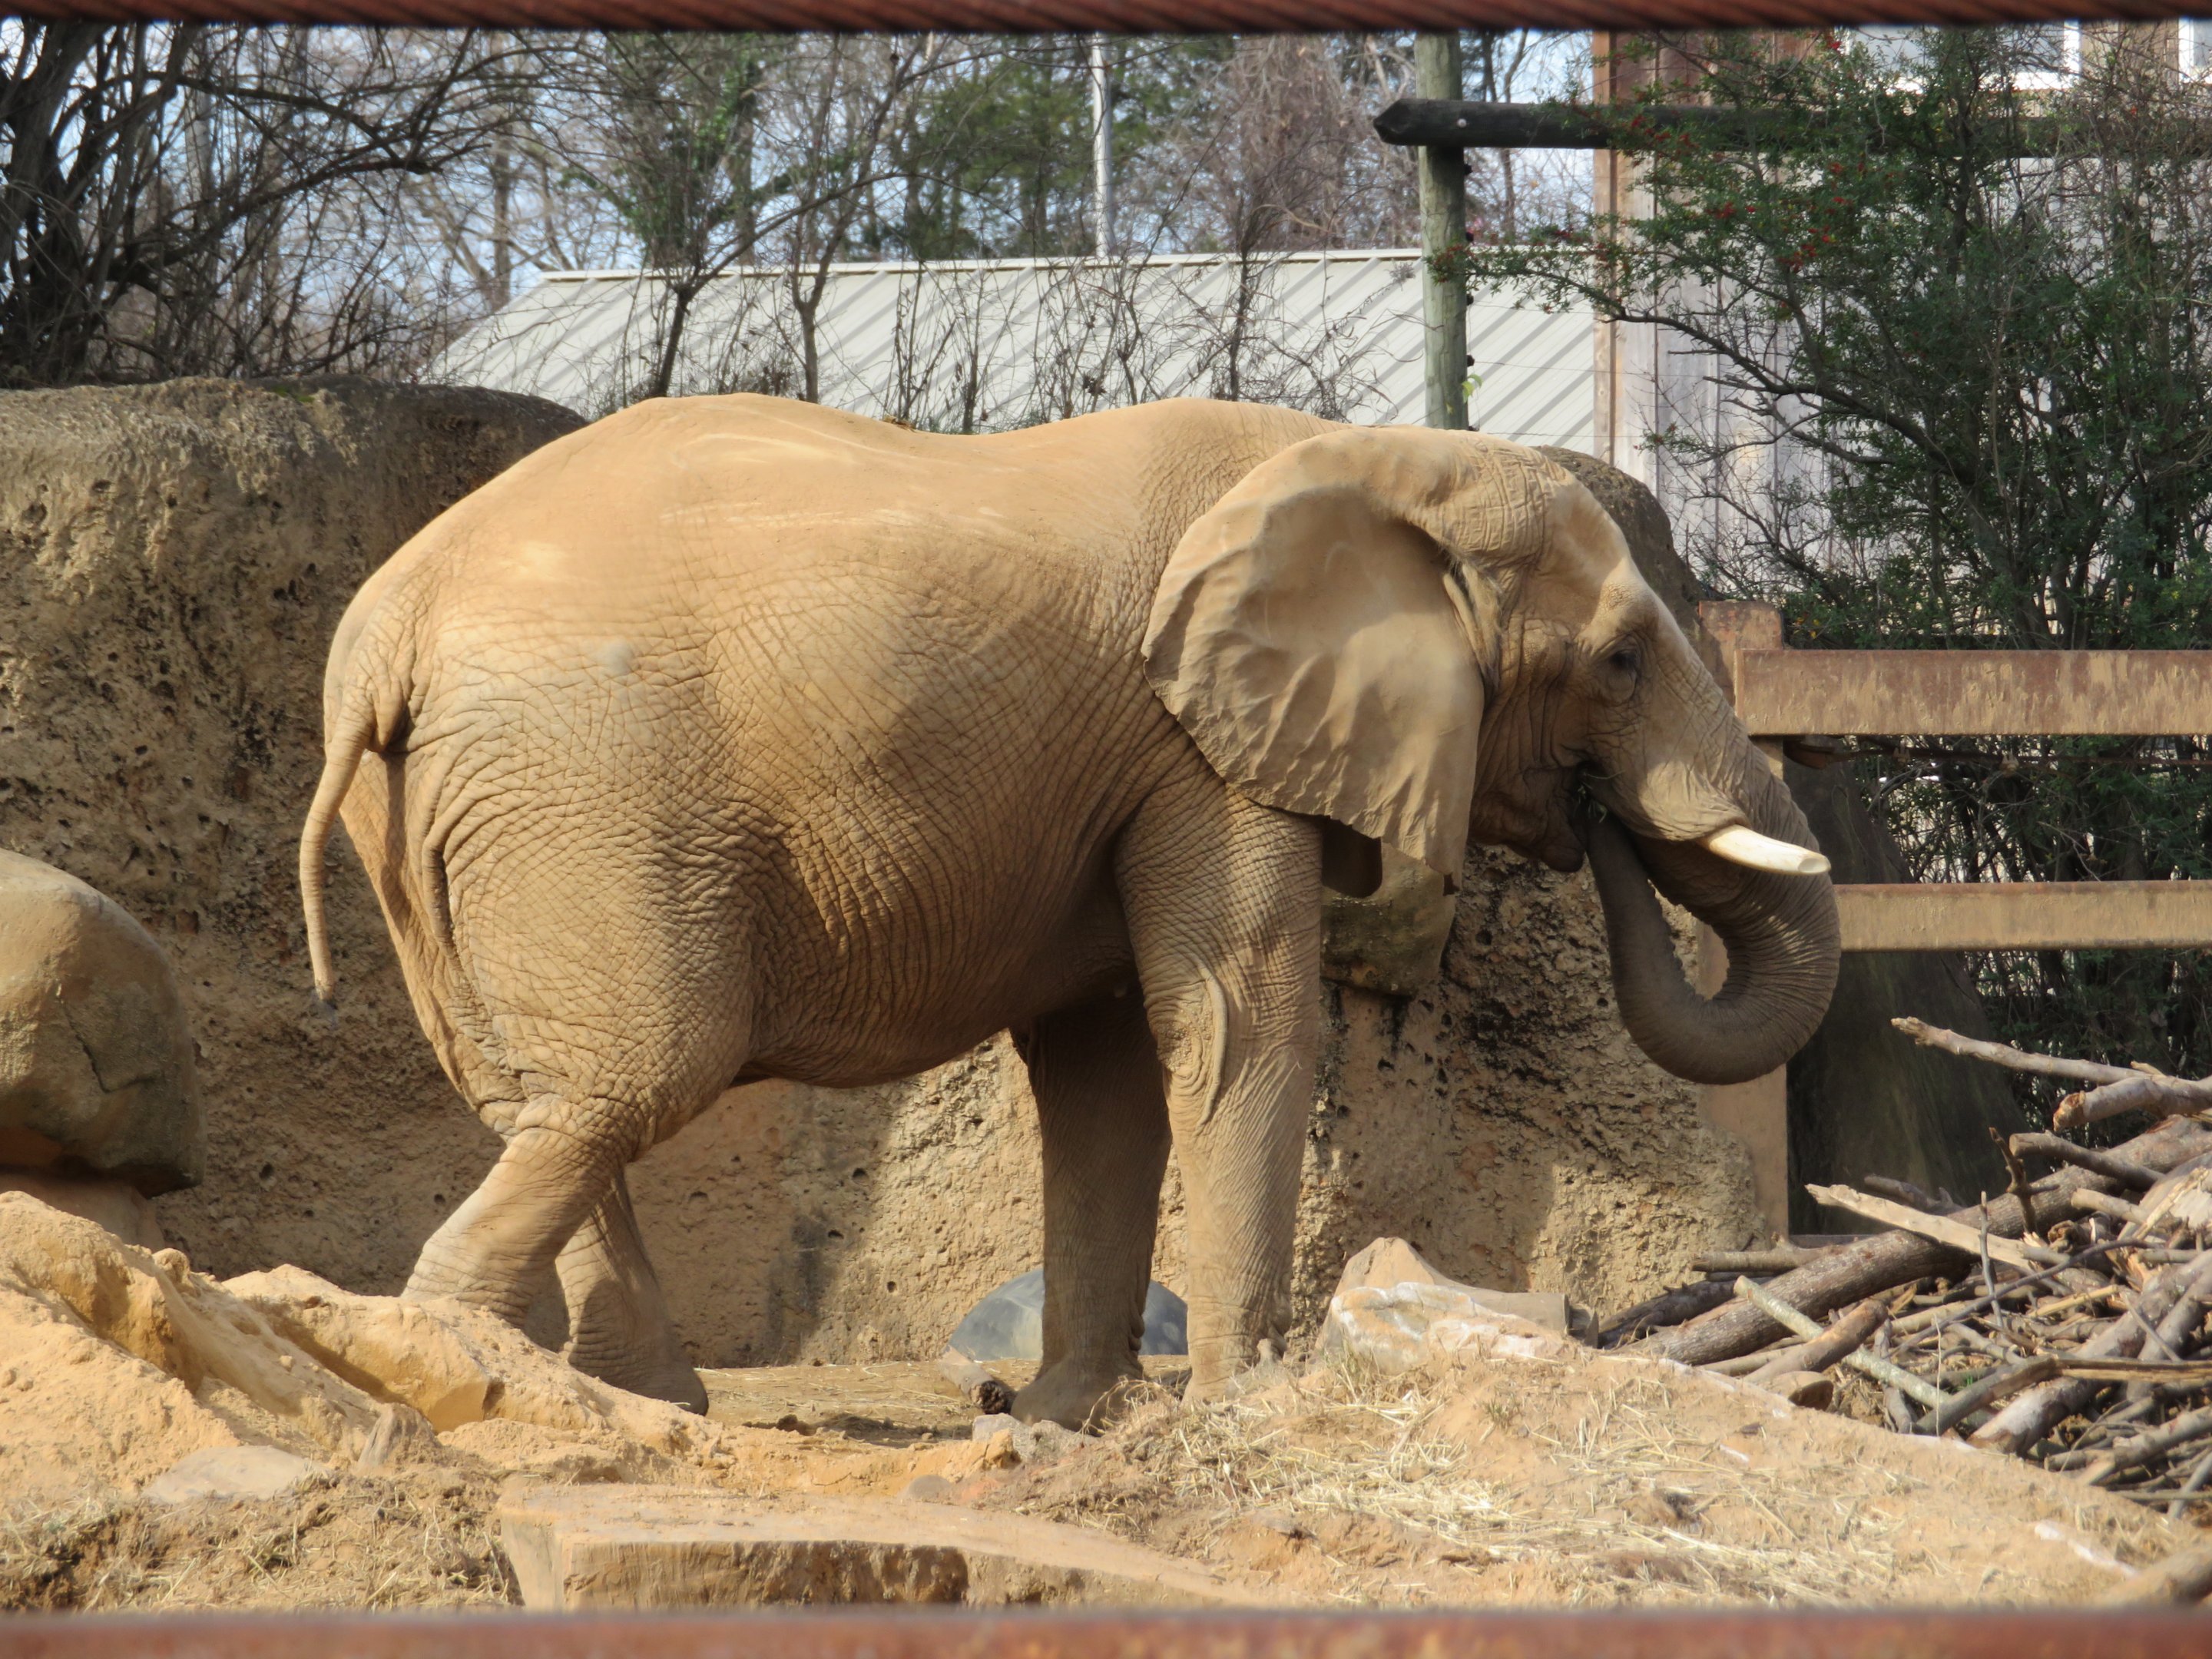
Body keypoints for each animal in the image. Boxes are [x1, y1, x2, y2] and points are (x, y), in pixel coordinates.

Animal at [298, 395, 1840, 1424]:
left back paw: (635, 1400)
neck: (1364, 455)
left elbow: (1108, 1069)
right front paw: (1241, 1404)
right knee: (635, 1078)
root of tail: (390, 632)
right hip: (592, 803)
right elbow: (1237, 1019)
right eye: (1624, 660)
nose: (1596, 820)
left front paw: (1067, 1421)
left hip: (447, 830)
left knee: (544, 1097)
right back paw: (449, 1361)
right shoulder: (1197, 746)